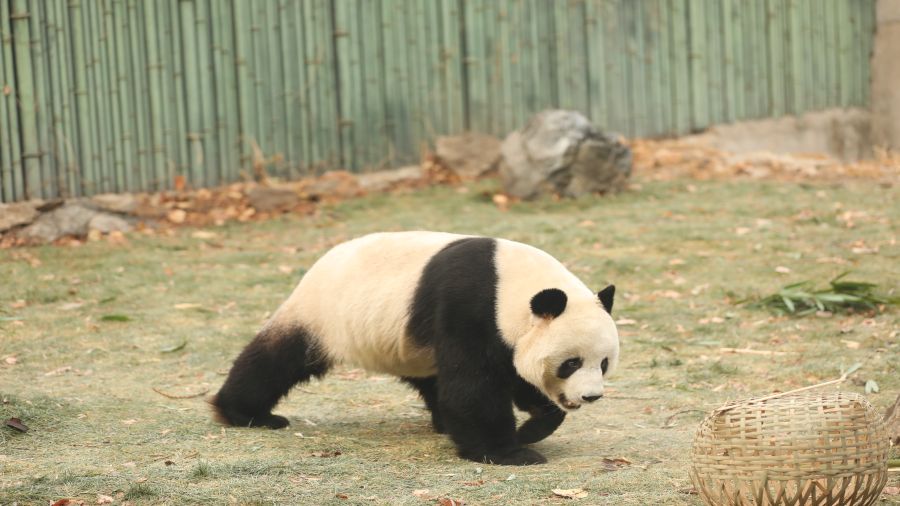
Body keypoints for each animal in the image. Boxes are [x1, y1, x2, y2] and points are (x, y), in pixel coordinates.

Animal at [211, 231, 619, 466]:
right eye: (571, 363)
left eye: (603, 364)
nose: (591, 397)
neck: (510, 284)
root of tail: (319, 261)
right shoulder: (470, 306)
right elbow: (475, 386)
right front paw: (510, 452)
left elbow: (518, 377)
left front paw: (532, 428)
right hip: (325, 313)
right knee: (278, 359)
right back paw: (246, 413)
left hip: (406, 344)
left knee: (433, 379)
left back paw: (443, 424)